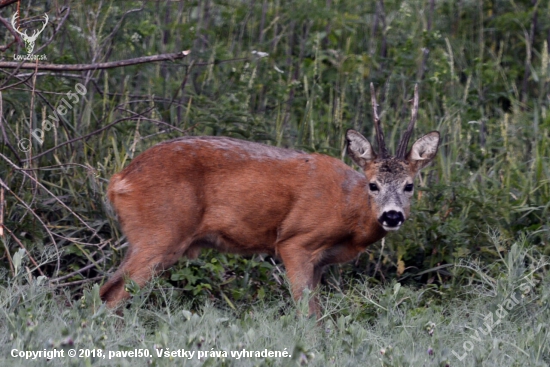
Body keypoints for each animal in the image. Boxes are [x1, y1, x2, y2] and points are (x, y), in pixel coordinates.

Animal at [101, 83, 442, 316]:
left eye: (410, 185)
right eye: (373, 185)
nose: (392, 215)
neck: (348, 211)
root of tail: (119, 180)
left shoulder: (320, 262)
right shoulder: (295, 242)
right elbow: (308, 315)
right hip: (158, 233)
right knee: (110, 293)